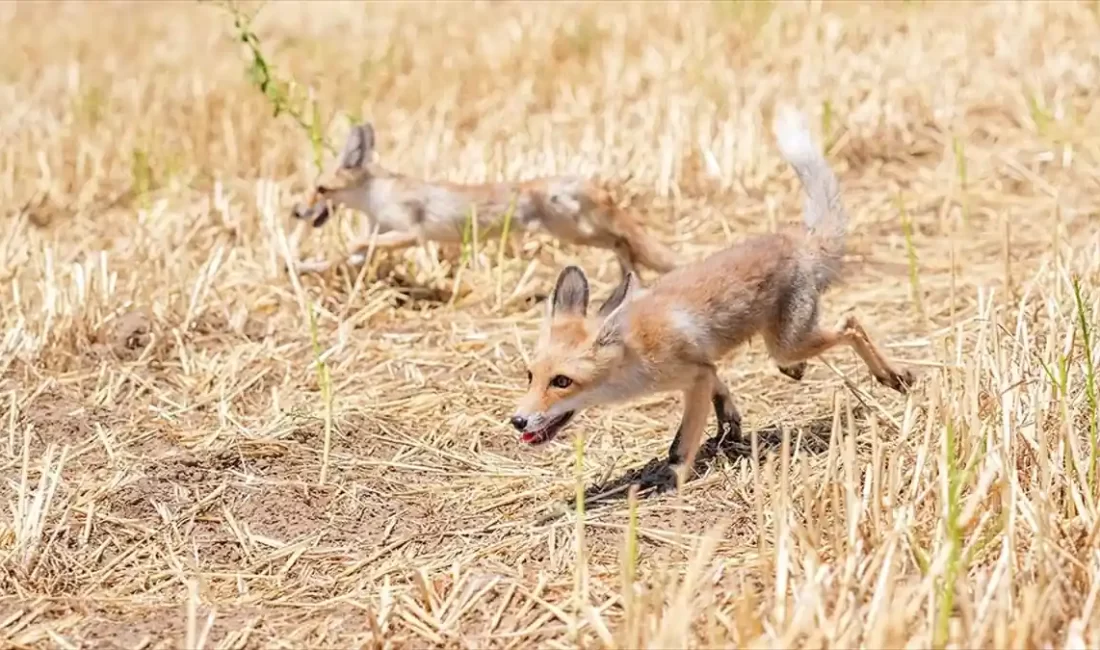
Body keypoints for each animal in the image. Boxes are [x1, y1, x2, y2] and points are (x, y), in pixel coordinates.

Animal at [288, 123, 673, 278]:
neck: (376, 197)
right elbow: (344, 256)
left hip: (574, 232)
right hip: (575, 233)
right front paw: (304, 268)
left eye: (320, 189)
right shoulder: (381, 233)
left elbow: (353, 244)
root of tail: (587, 182)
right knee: (623, 242)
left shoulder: (412, 234)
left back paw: (632, 272)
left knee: (622, 240)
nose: (296, 212)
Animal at [510, 104, 915, 475]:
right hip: (787, 343)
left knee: (851, 323)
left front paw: (675, 480)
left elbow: (682, 444)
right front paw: (729, 422)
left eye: (562, 381)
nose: (517, 420)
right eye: (530, 376)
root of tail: (798, 240)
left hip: (788, 342)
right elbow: (721, 389)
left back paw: (892, 376)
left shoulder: (694, 376)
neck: (636, 351)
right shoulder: (705, 368)